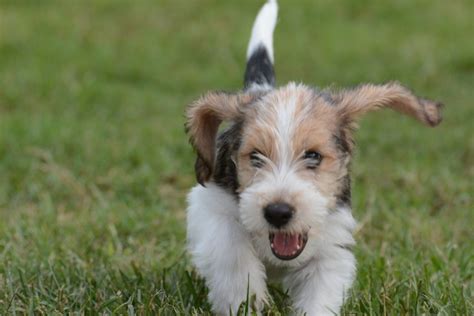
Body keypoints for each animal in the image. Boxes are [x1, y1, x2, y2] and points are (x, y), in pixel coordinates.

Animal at [184, 1, 440, 314]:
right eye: (255, 156)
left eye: (313, 155)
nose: (278, 212)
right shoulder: (212, 208)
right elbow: (233, 257)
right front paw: (246, 300)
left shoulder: (331, 248)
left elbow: (320, 293)